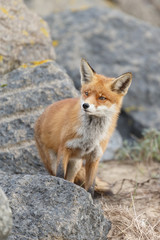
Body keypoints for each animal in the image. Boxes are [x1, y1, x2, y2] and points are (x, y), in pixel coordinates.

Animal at [34, 59, 132, 196]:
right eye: (86, 93)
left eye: (102, 97)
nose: (85, 105)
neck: (91, 134)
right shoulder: (64, 148)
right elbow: (60, 175)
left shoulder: (95, 157)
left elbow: (90, 186)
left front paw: (89, 199)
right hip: (53, 161)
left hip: (76, 164)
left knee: (71, 179)